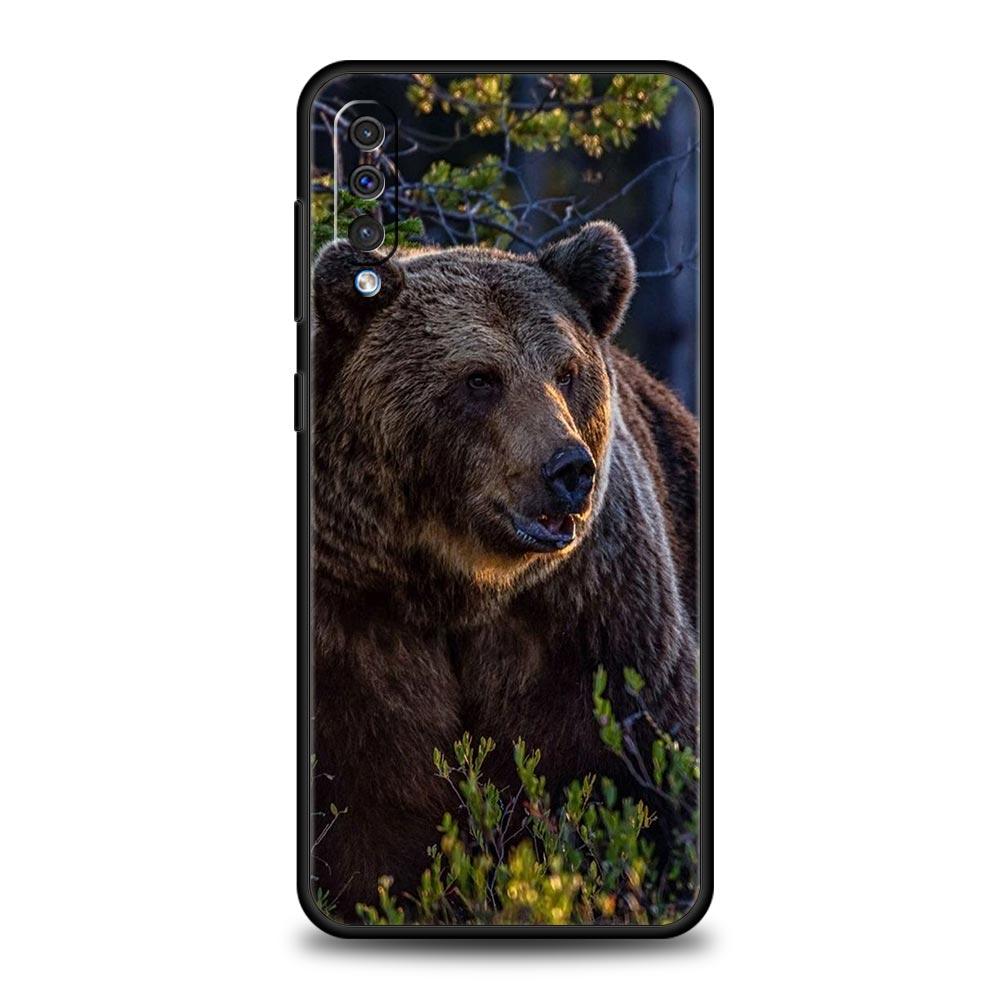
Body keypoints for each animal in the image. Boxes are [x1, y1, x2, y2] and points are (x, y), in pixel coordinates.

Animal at [310, 221, 699, 918]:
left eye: (566, 371)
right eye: (480, 378)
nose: (569, 469)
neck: (459, 588)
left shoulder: (590, 624)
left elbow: (639, 776)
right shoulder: (353, 629)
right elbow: (368, 824)